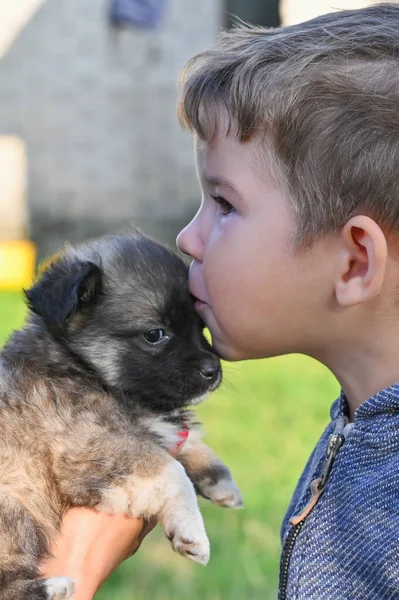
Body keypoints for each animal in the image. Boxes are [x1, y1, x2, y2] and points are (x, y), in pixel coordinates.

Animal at [0, 233, 242, 600]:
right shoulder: (96, 447)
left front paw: (219, 479)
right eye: (155, 334)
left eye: (200, 326)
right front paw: (192, 531)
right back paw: (54, 587)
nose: (212, 370)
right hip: (14, 508)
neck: (80, 367)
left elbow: (182, 442)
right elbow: (172, 471)